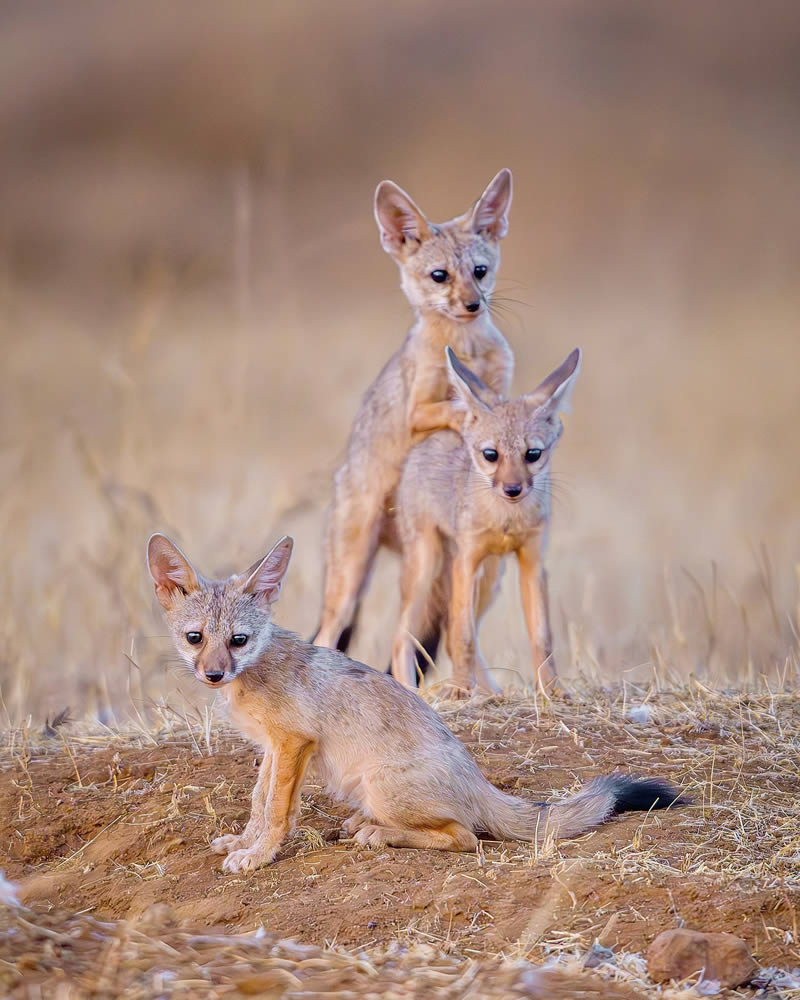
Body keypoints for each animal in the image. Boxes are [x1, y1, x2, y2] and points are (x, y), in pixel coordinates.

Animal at [147, 536, 680, 872]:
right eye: (195, 638)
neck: (255, 671)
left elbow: (278, 811)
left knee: (464, 835)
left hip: (380, 785)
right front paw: (244, 841)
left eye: (239, 640)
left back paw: (380, 833)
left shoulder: (294, 742)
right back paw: (363, 825)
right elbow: (260, 802)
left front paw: (257, 856)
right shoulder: (272, 748)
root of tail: (479, 783)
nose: (213, 674)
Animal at [310, 168, 512, 660]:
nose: (472, 304)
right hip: (351, 580)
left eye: (480, 271)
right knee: (328, 636)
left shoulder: (502, 381)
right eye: (440, 276)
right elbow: (456, 408)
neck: (466, 349)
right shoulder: (417, 409)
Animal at [390, 350, 580, 696]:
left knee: (449, 635)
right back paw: (415, 691)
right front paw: (461, 690)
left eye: (533, 454)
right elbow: (463, 637)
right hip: (426, 568)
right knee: (403, 638)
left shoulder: (533, 563)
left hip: (491, 579)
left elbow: (542, 638)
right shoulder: (465, 562)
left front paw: (552, 690)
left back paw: (492, 692)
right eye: (491, 454)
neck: (506, 521)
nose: (513, 489)